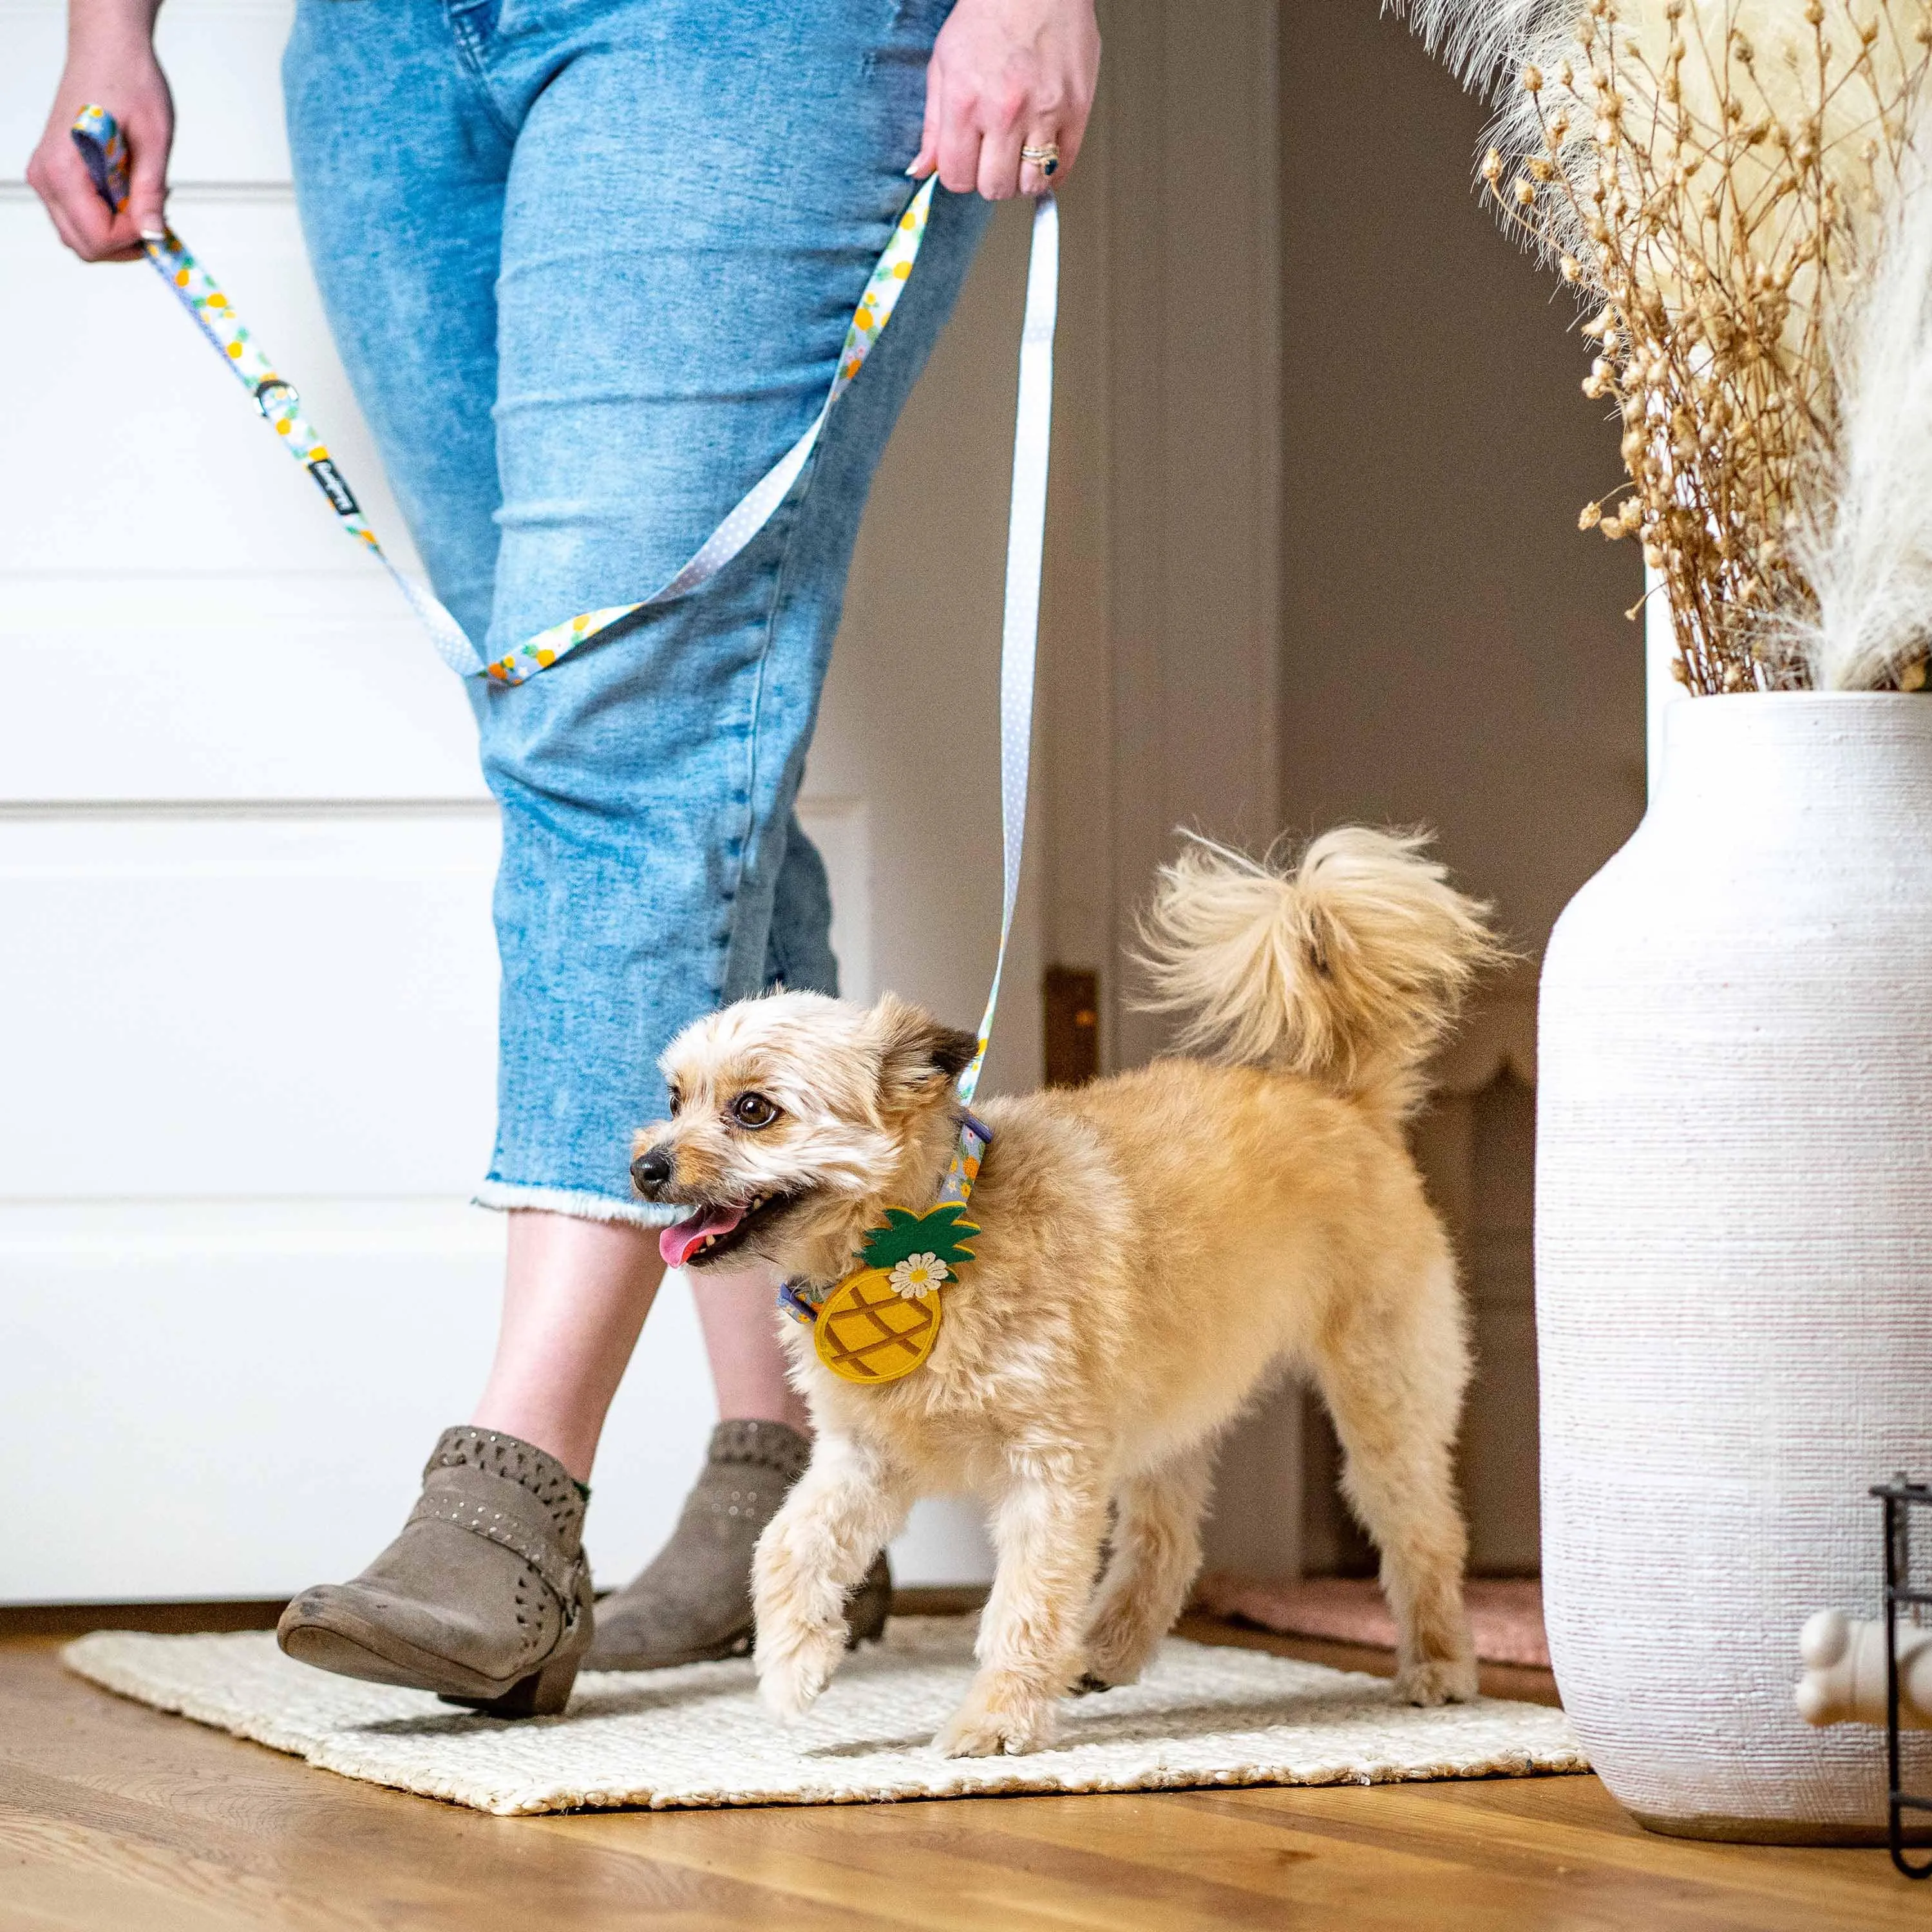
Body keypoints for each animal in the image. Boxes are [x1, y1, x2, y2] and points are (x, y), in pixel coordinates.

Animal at [634, 823, 1492, 1762]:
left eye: (755, 1110)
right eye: (674, 1098)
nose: (645, 1167)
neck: (916, 1250)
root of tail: (1344, 1100)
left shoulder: (1050, 1470)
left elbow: (1025, 1606)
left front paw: (996, 1721)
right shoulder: (863, 1459)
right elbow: (785, 1548)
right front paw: (795, 1666)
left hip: (1384, 1409)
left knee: (1425, 1534)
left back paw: (1440, 1667)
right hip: (1169, 1414)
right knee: (1168, 1542)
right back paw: (1108, 1650)